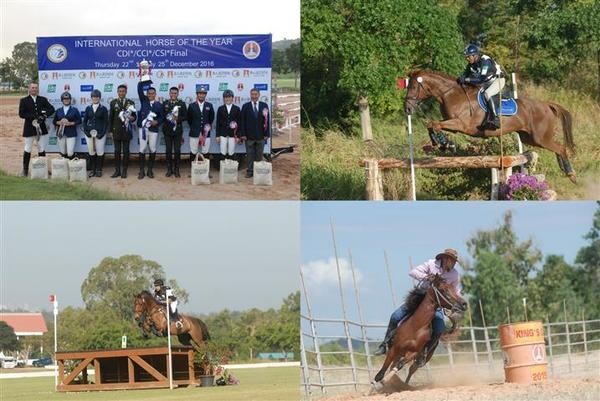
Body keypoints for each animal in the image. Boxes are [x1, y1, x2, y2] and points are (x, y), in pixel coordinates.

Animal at [404, 69, 576, 182]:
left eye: (413, 87)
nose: (407, 108)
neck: (450, 94)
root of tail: (546, 104)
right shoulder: (451, 123)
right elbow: (432, 125)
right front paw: (442, 144)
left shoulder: (460, 124)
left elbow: (434, 124)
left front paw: (446, 144)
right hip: (529, 138)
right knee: (557, 149)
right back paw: (565, 170)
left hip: (540, 138)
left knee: (560, 148)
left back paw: (571, 174)